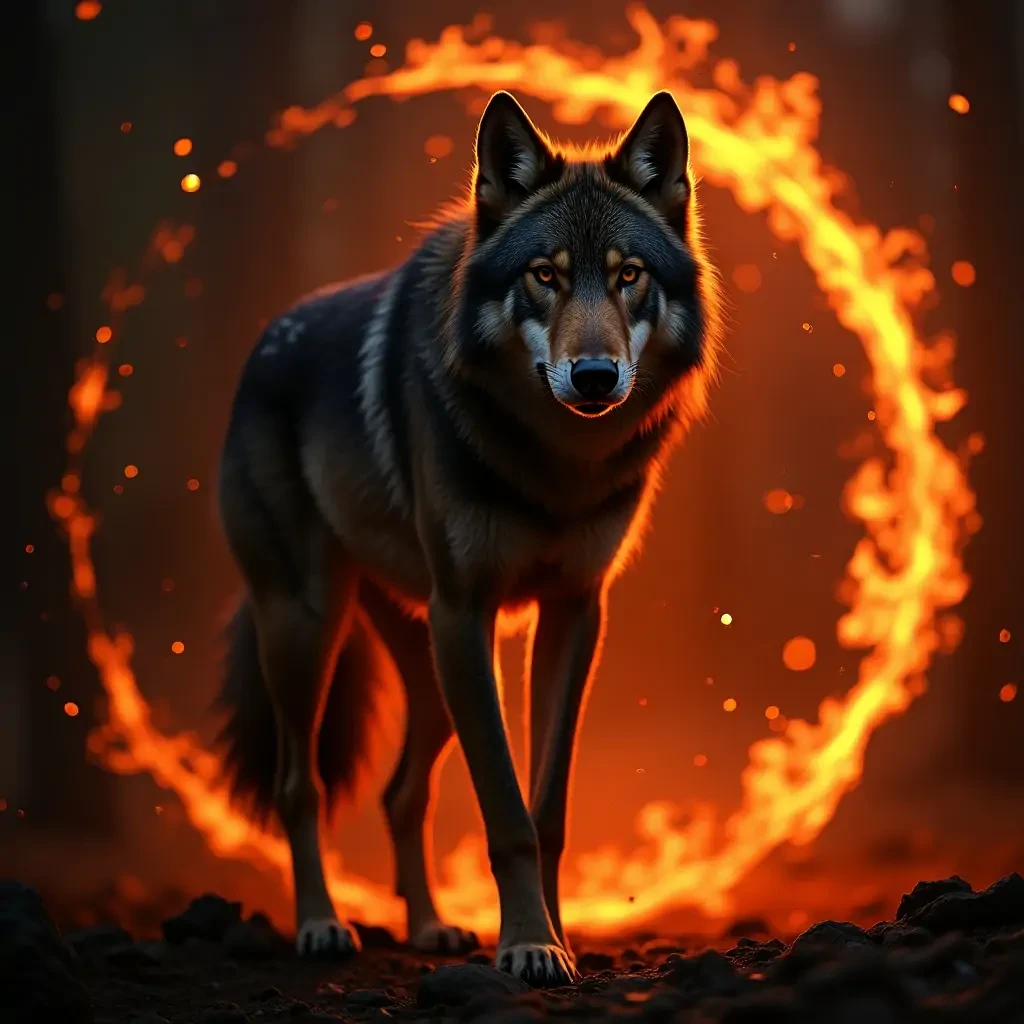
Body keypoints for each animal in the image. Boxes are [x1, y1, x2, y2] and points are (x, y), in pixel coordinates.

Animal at [215, 89, 721, 987]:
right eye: (544, 275)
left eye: (627, 275)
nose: (595, 377)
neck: (559, 464)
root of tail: (261, 348)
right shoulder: (467, 612)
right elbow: (507, 812)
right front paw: (526, 946)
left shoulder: (572, 614)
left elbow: (547, 809)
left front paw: (558, 938)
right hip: (312, 628)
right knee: (297, 786)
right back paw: (321, 926)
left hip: (426, 665)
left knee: (400, 792)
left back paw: (427, 928)